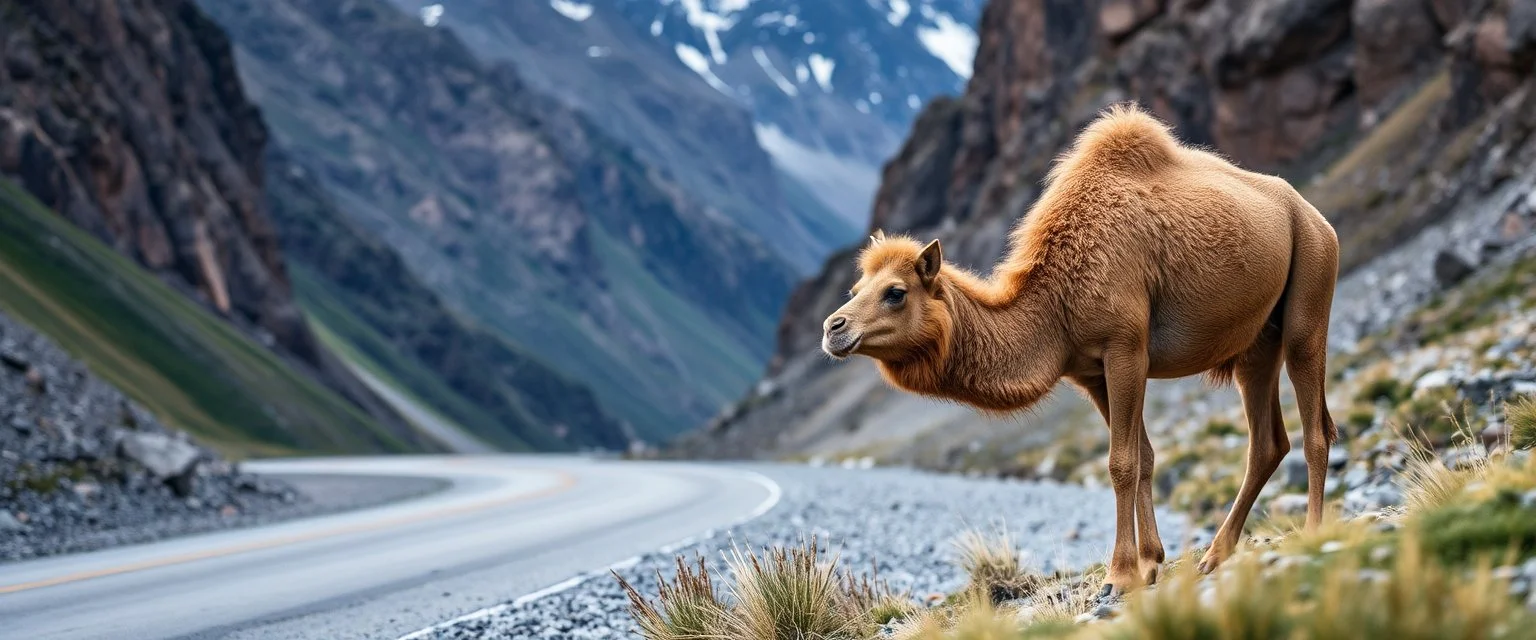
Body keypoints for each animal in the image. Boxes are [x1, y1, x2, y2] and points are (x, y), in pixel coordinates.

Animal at [821, 104, 1339, 596]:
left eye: (895, 292)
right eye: (855, 287)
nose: (832, 328)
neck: (1056, 305)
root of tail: (1313, 214)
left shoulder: (1125, 348)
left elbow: (1121, 463)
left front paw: (1120, 575)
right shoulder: (1090, 373)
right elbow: (1144, 457)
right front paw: (1151, 563)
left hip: (1310, 289)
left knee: (1313, 427)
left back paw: (1314, 533)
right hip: (1256, 344)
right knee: (1267, 442)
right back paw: (1215, 554)